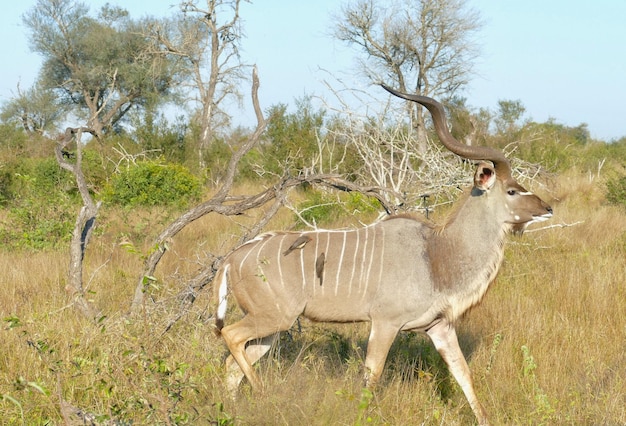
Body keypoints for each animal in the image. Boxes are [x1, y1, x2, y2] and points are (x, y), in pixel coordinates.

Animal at [214, 85, 552, 424]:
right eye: (511, 190)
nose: (547, 208)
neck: (436, 253)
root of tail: (232, 259)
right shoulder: (385, 323)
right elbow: (371, 379)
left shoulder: (440, 327)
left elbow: (463, 374)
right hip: (273, 317)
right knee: (230, 336)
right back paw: (262, 394)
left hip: (272, 327)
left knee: (233, 363)